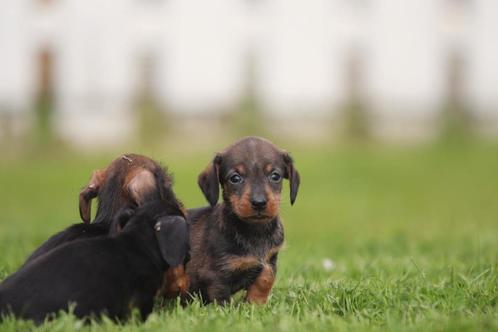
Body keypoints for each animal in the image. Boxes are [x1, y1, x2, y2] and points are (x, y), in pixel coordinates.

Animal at [186, 136, 300, 304]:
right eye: (235, 178)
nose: (259, 203)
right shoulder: (215, 274)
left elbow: (266, 277)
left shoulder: (270, 259)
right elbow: (221, 299)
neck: (255, 231)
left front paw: (255, 303)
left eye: (275, 176)